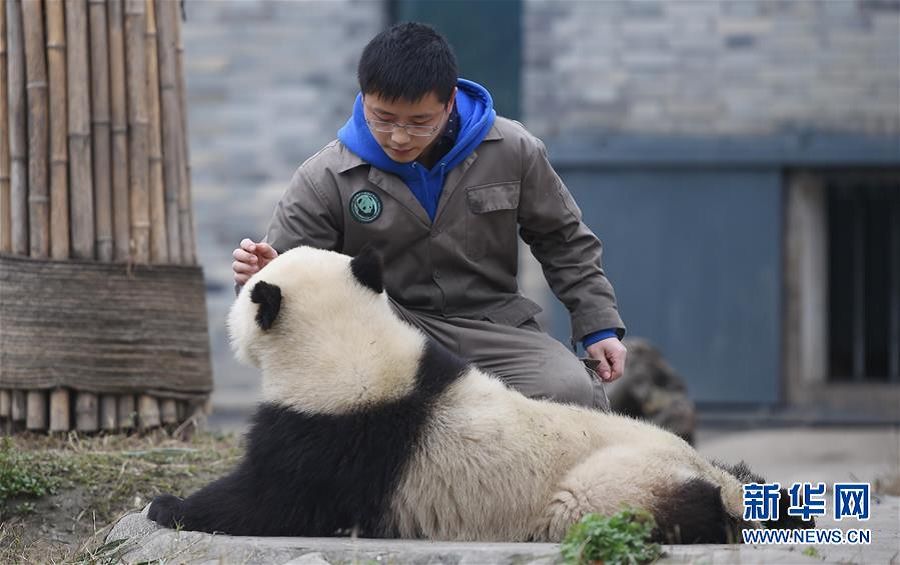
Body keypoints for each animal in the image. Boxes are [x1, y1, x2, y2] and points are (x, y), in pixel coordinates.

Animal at [146, 246, 808, 540]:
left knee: (601, 506)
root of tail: (702, 469)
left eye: (245, 294)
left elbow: (272, 502)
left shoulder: (339, 432)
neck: (351, 349)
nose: (231, 313)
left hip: (612, 483)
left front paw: (166, 504)